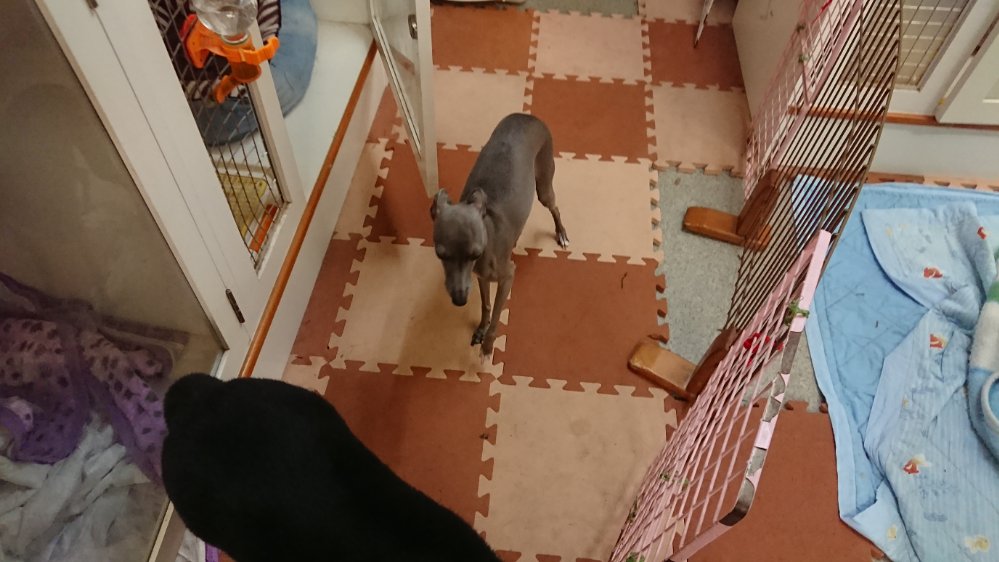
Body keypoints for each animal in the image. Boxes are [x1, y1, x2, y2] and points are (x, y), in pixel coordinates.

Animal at [430, 113, 568, 356]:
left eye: (475, 253)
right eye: (440, 254)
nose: (459, 300)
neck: (489, 229)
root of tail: (528, 116)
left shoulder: (507, 276)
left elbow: (496, 314)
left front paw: (488, 344)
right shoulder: (481, 277)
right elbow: (486, 305)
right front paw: (480, 329)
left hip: (543, 185)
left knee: (555, 207)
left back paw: (561, 233)